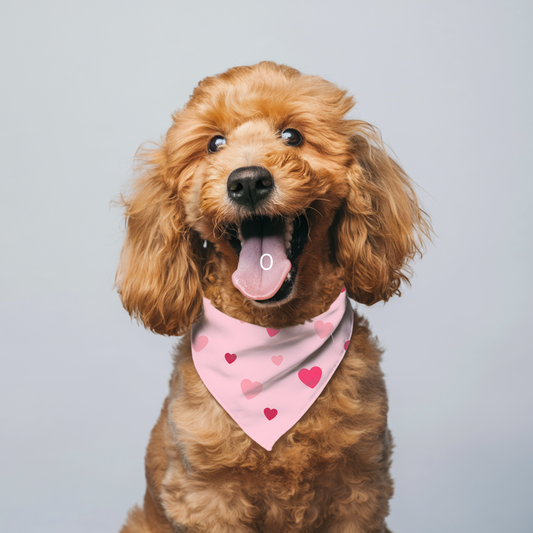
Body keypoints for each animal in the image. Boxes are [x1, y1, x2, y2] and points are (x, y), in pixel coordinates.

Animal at [115, 60, 428, 528]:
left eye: (292, 136)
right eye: (214, 144)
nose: (247, 181)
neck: (271, 336)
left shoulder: (360, 490)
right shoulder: (208, 497)